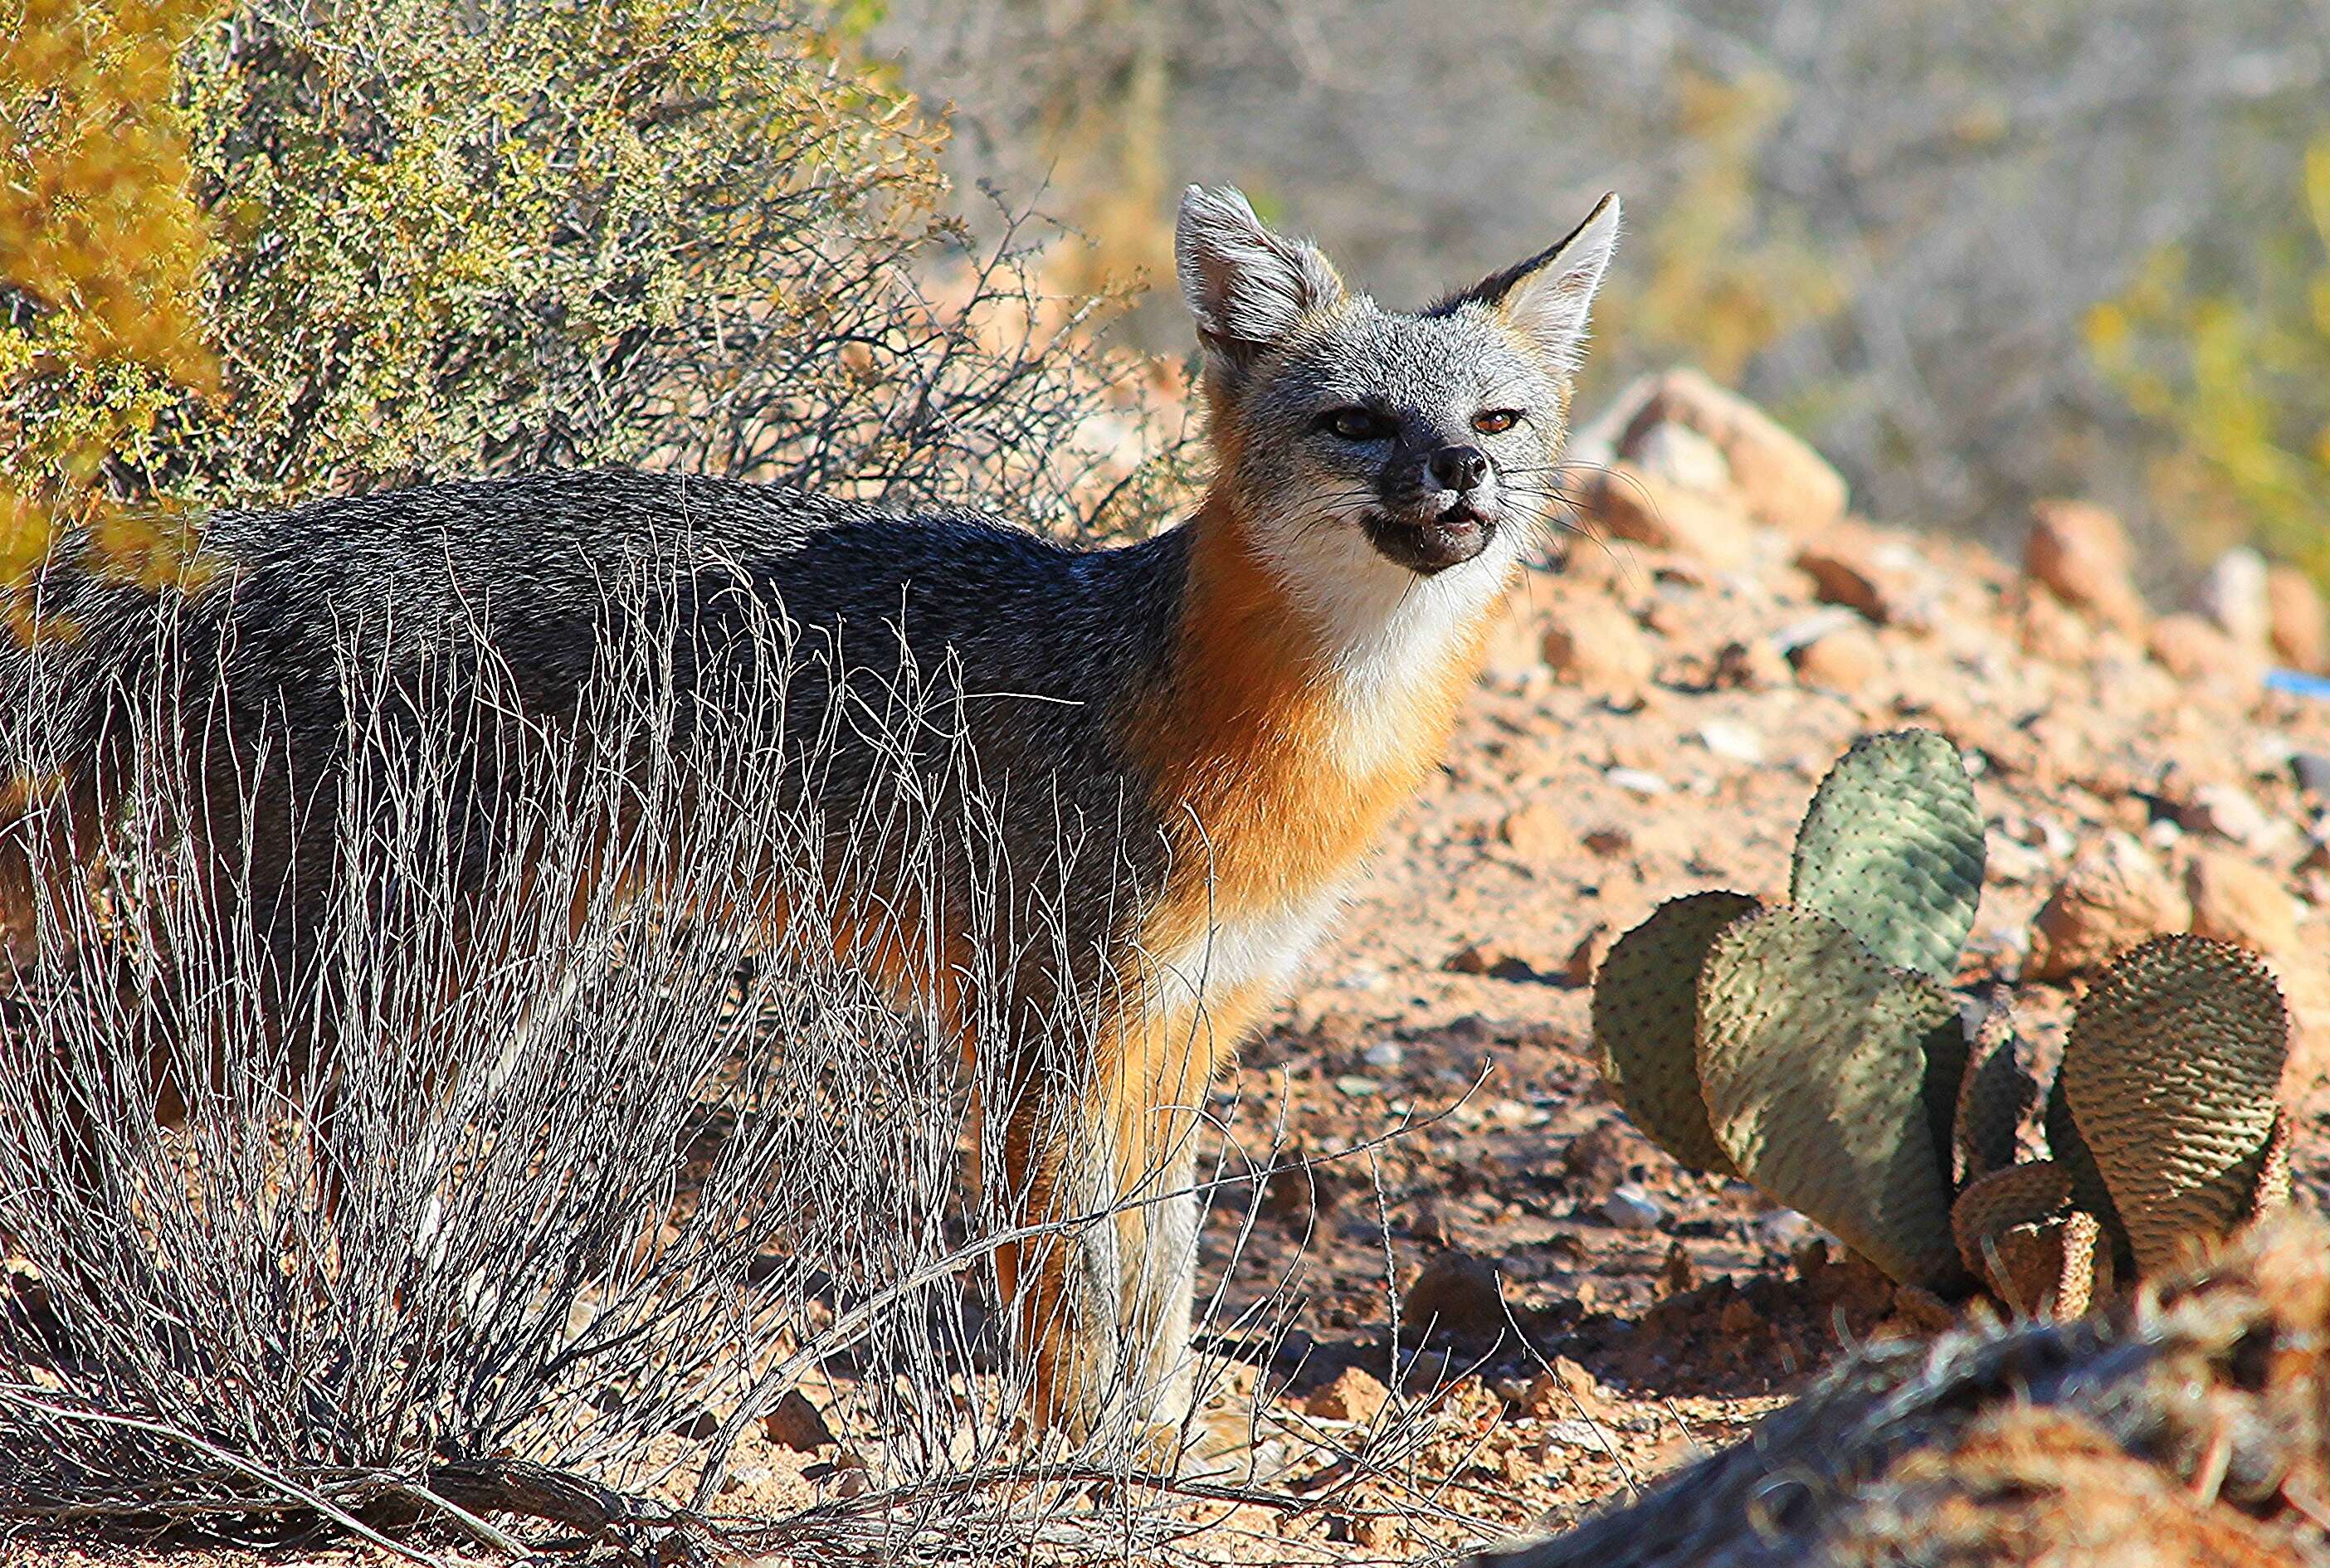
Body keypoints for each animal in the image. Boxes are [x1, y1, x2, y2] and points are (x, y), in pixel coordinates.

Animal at [0, 186, 1612, 1454]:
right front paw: (1087, 1459)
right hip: (380, 967)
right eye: (1356, 424)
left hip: (474, 977)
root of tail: (253, 541)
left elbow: (1158, 1275)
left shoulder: (1180, 1037)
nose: (1462, 472)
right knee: (82, 1067)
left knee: (346, 1141)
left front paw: (1164, 1440)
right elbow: (1075, 1287)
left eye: (1496, 418)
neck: (1247, 713)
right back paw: (126, 1301)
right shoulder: (1049, 1033)